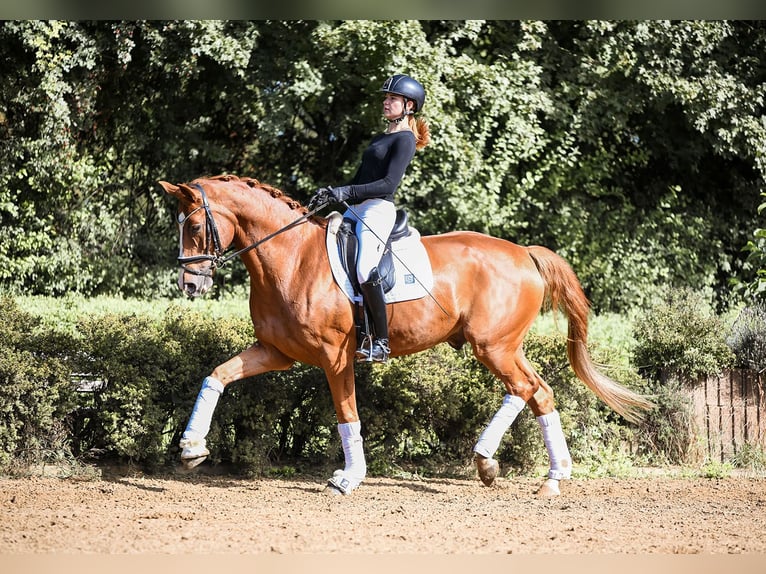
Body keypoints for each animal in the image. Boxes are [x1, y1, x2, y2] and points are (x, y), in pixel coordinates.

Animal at [159, 174, 654, 497]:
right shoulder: (275, 351)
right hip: (505, 346)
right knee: (539, 392)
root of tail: (523, 252)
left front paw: (348, 478)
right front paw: (191, 449)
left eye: (196, 226)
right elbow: (216, 375)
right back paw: (547, 475)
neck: (290, 257)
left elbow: (347, 414)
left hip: (492, 346)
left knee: (524, 388)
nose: (189, 285)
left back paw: (496, 461)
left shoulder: (335, 357)